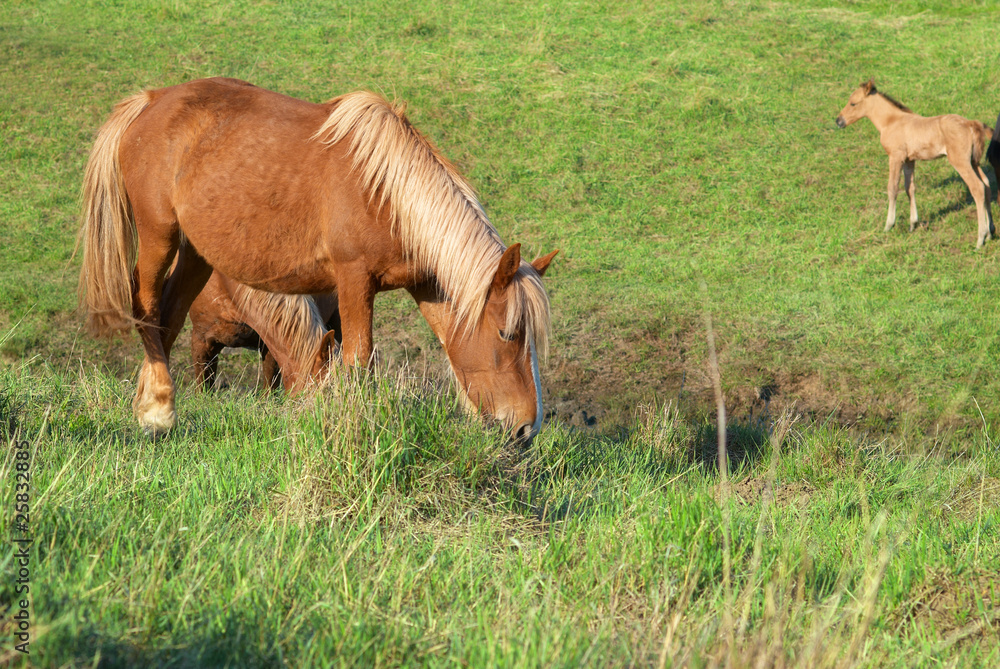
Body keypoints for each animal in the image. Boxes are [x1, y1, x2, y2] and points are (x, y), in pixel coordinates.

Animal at [78, 77, 557, 441]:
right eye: (507, 332)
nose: (526, 429)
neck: (387, 193)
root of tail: (151, 100)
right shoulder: (353, 279)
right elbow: (359, 363)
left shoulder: (424, 287)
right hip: (159, 236)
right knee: (146, 308)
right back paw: (158, 410)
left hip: (197, 254)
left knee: (169, 317)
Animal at [835, 79, 994, 247]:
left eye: (853, 103)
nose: (838, 121)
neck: (891, 121)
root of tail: (971, 123)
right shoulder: (909, 160)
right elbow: (909, 188)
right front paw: (913, 224)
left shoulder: (895, 157)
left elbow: (892, 188)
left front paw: (888, 225)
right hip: (973, 161)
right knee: (986, 185)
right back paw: (990, 232)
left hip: (960, 161)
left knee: (977, 188)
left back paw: (980, 238)